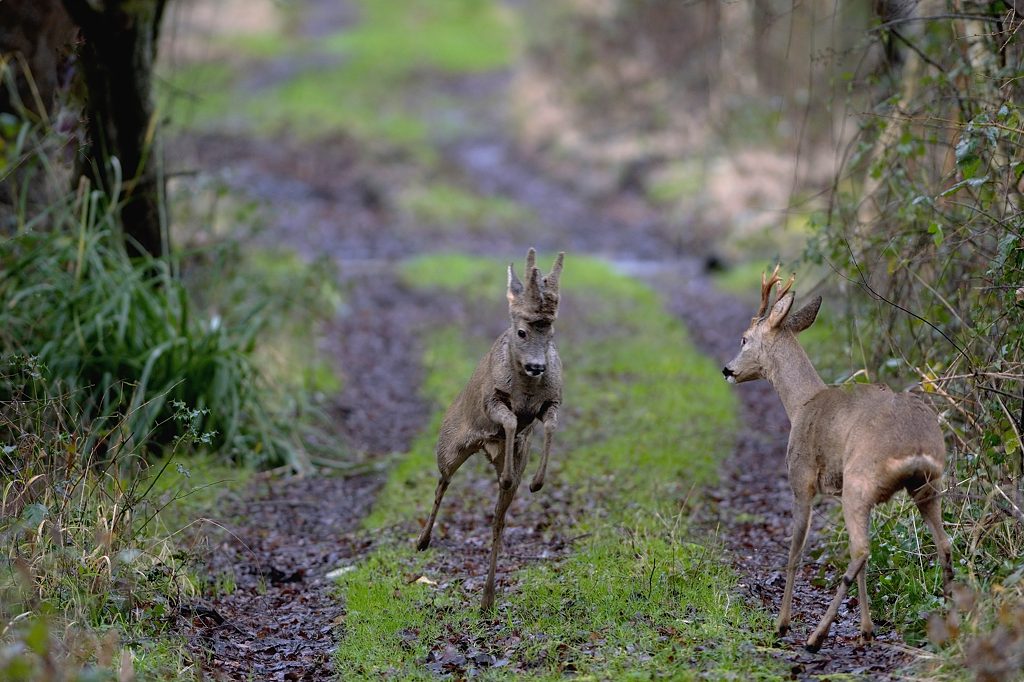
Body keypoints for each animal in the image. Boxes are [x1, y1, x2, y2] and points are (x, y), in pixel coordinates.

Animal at [411, 246, 565, 606]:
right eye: (522, 331)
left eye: (550, 333)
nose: (537, 366)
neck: (526, 389)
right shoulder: (492, 400)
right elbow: (509, 418)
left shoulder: (551, 402)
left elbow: (549, 425)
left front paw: (537, 482)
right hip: (449, 446)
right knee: (443, 481)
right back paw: (422, 540)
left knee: (499, 518)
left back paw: (487, 598)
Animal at [720, 266, 950, 647]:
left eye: (743, 338)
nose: (727, 370)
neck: (801, 404)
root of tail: (917, 445)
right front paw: (865, 630)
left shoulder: (801, 479)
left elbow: (794, 554)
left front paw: (781, 624)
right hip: (927, 486)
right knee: (942, 545)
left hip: (860, 479)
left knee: (861, 550)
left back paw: (816, 636)